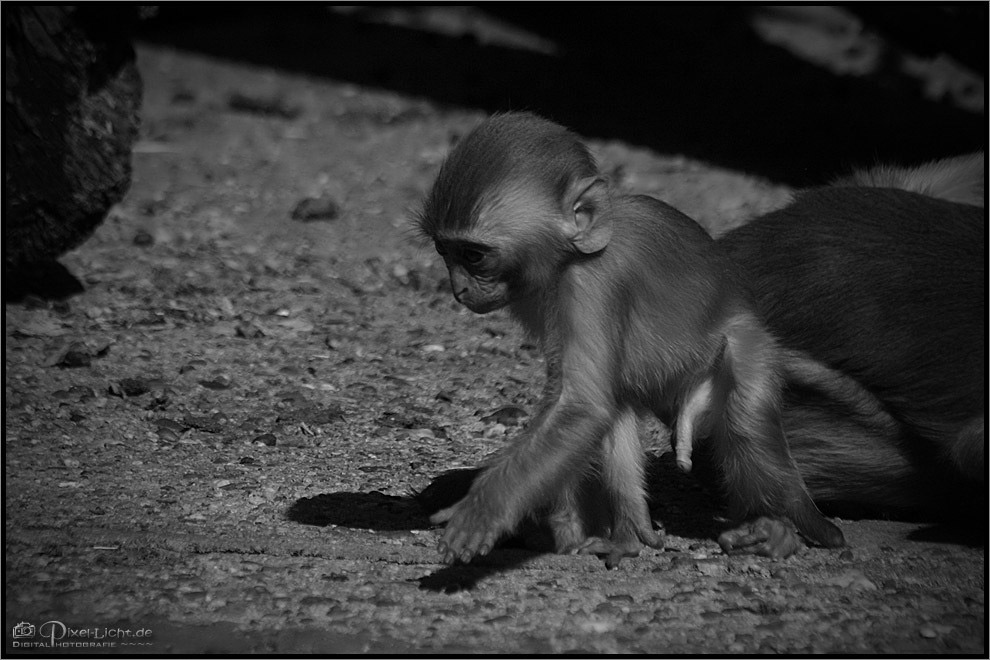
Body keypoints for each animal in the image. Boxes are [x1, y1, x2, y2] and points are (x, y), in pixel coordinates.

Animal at [416, 113, 844, 568]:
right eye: (445, 251)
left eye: (474, 255)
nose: (458, 289)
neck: (572, 255)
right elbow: (579, 406)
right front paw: (564, 525)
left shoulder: (593, 285)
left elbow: (582, 407)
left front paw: (483, 510)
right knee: (619, 403)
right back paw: (629, 534)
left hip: (749, 348)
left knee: (743, 417)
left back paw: (780, 530)